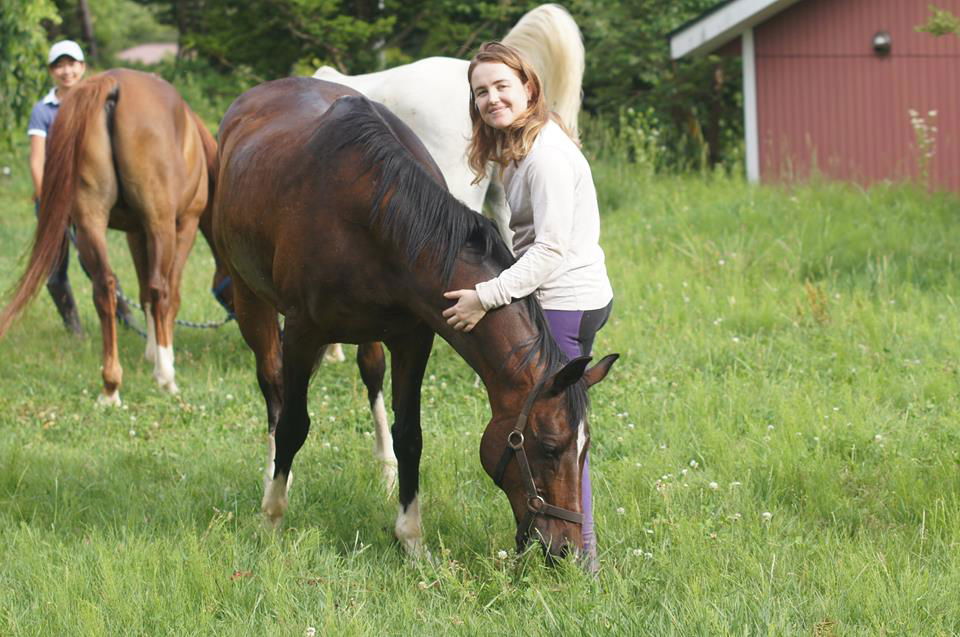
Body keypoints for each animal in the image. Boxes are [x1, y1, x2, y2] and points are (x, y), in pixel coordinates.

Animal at [0, 69, 217, 406]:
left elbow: (142, 293)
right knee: (160, 289)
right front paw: (163, 361)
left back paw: (111, 388)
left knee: (105, 286)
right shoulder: (183, 226)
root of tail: (113, 84)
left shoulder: (135, 233)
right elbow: (168, 293)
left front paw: (150, 353)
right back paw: (165, 378)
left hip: (90, 220)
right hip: (160, 224)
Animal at [213, 77, 617, 559]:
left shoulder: (413, 338)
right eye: (552, 448)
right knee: (273, 388)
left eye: (585, 449)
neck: (372, 216)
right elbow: (294, 423)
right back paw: (275, 475)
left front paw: (411, 538)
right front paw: (272, 520)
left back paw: (382, 467)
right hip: (249, 298)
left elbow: (411, 435)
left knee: (370, 372)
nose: (566, 549)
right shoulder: (302, 333)